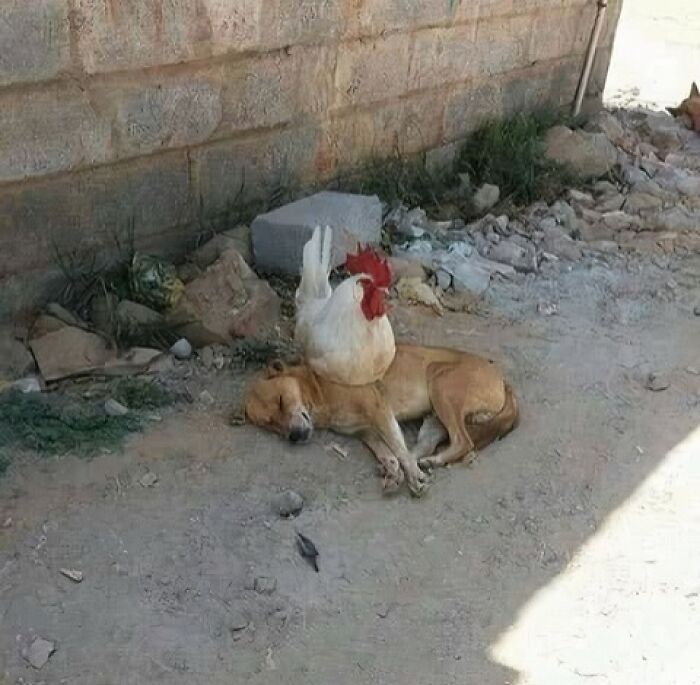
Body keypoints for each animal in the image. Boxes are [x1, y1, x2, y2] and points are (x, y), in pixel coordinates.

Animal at [243, 344, 516, 494]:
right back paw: (422, 463)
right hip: (433, 418)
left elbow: (397, 447)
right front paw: (395, 471)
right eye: (271, 425)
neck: (318, 388)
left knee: (463, 441)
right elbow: (389, 453)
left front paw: (413, 478)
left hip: (440, 383)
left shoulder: (379, 410)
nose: (295, 436)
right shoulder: (365, 431)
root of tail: (503, 382)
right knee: (428, 445)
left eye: (281, 400)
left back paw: (425, 465)